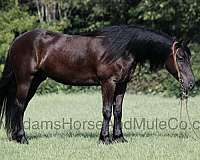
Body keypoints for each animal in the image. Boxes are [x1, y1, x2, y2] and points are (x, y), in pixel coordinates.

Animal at [0, 24, 195, 144]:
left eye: (188, 57)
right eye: (180, 57)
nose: (192, 83)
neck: (123, 49)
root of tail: (17, 41)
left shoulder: (122, 85)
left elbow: (118, 111)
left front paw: (119, 138)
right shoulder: (108, 83)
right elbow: (107, 111)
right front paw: (105, 139)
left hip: (35, 81)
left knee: (20, 107)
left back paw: (16, 137)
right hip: (25, 80)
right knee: (19, 106)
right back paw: (22, 138)